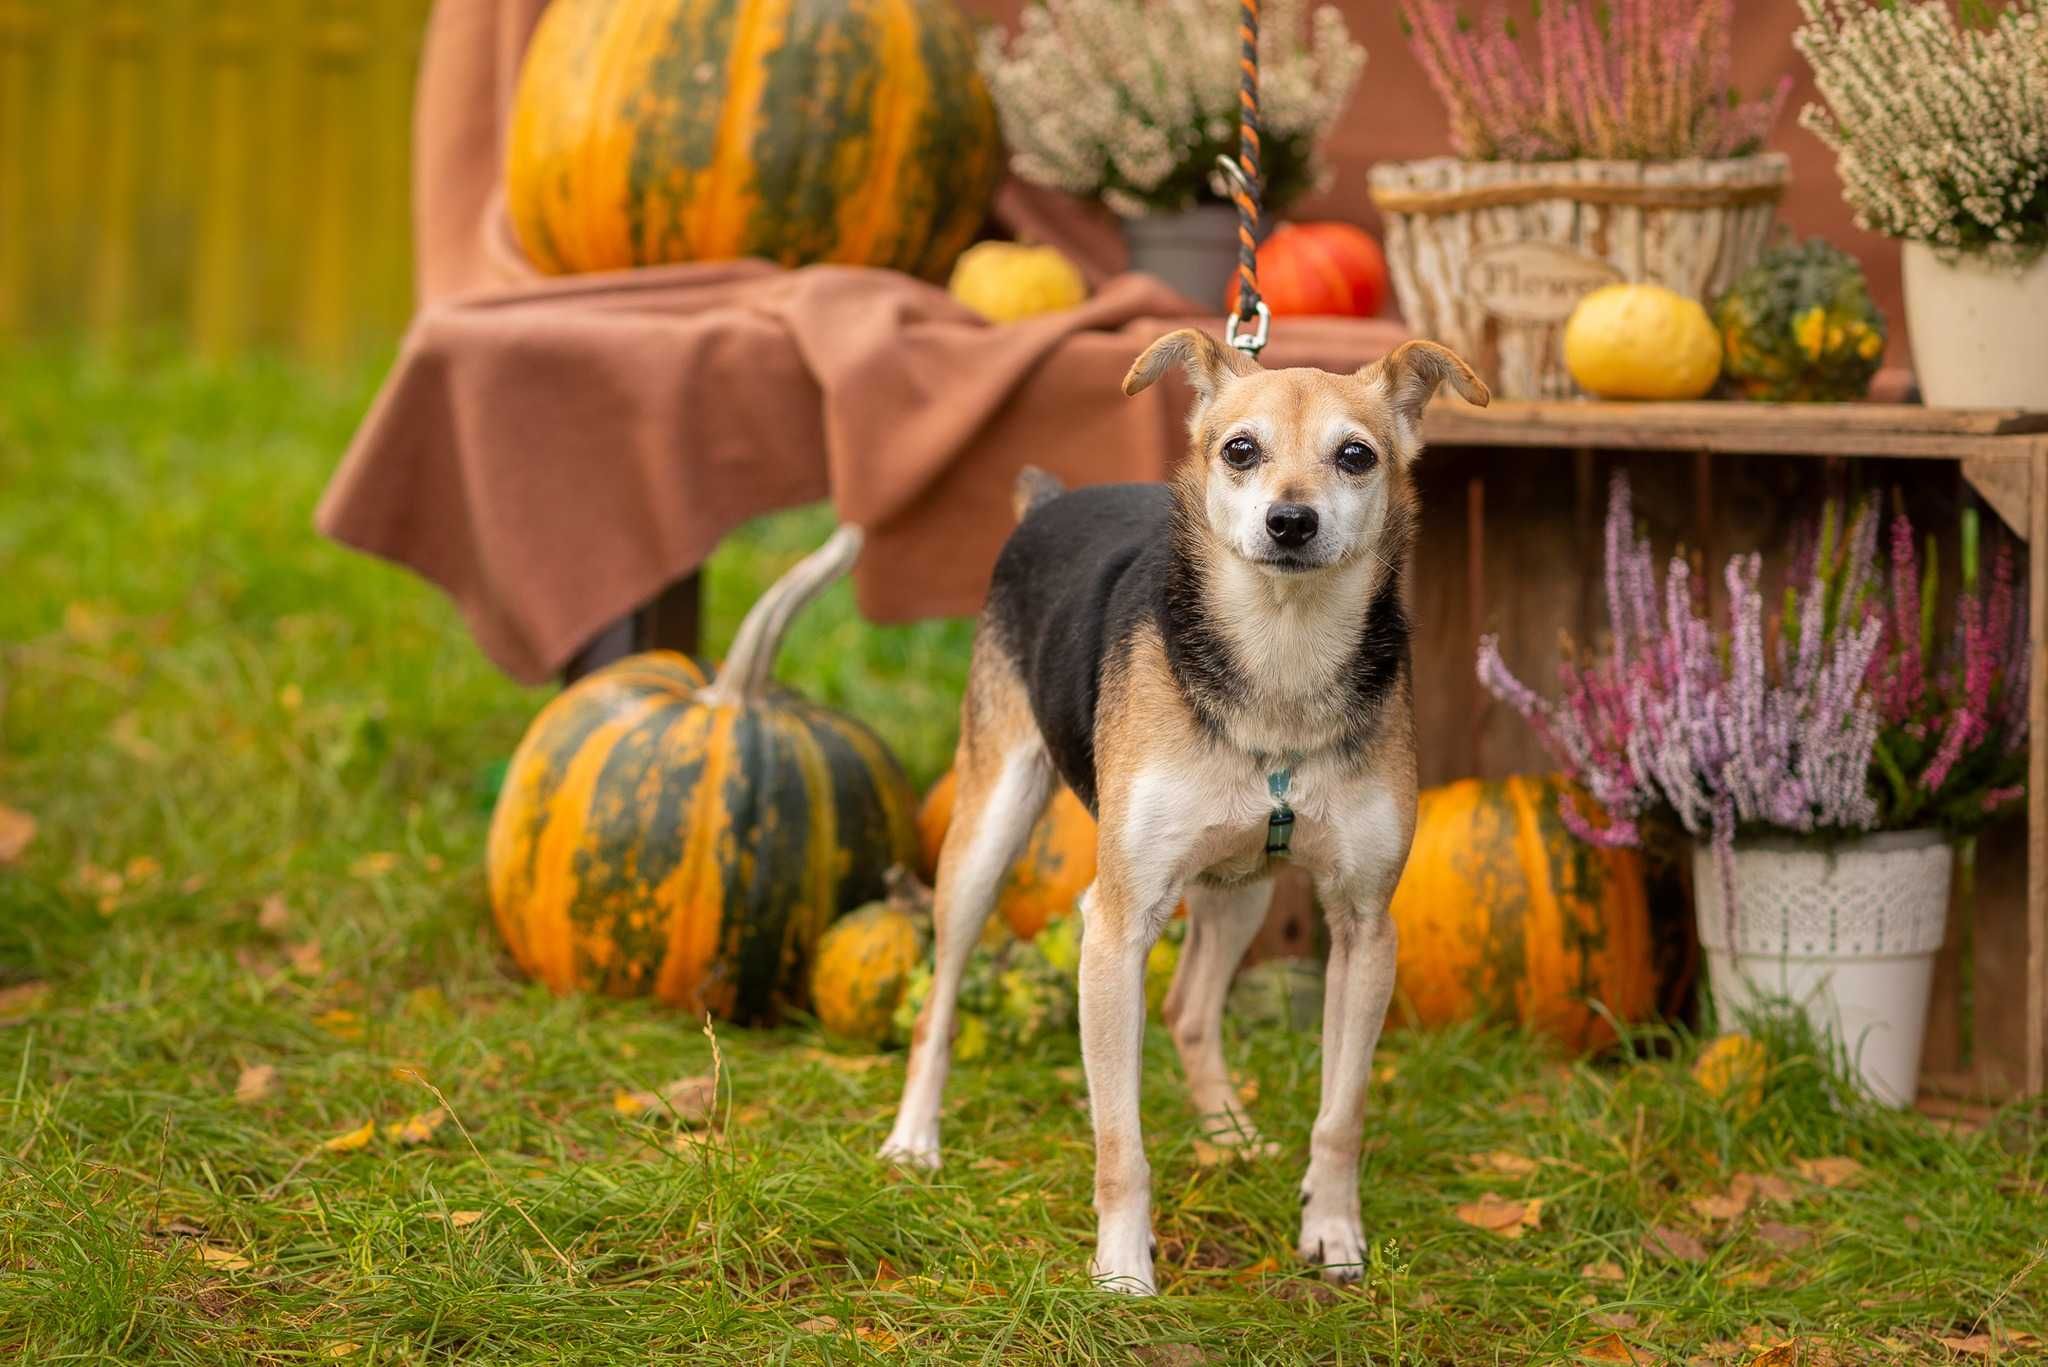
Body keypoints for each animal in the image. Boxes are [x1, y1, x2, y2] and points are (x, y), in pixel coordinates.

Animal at [880, 327, 1490, 1295]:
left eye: (1356, 456)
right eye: (1240, 449)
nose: (1291, 522)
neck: (1279, 658)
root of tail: (1048, 501)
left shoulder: (1366, 929)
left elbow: (1342, 1111)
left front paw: (1333, 1230)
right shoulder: (1115, 924)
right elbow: (1118, 1138)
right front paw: (1123, 1267)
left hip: (1243, 884)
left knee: (1191, 1009)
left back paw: (1229, 1133)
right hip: (985, 834)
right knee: (938, 1002)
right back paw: (914, 1139)